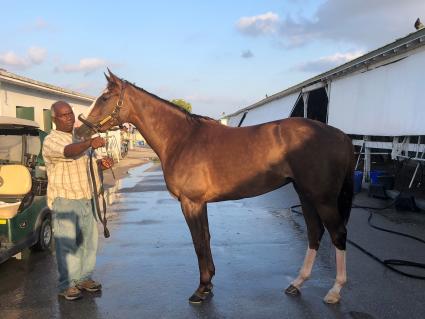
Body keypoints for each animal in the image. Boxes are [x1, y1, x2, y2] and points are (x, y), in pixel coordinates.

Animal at [76, 71, 354, 306]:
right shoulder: (200, 203)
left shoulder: (191, 203)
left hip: (323, 198)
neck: (181, 139)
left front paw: (201, 289)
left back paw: (335, 291)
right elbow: (206, 237)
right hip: (306, 195)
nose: (80, 129)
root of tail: (340, 135)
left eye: (105, 97)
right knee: (314, 233)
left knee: (338, 234)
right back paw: (297, 283)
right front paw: (208, 283)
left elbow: (198, 241)